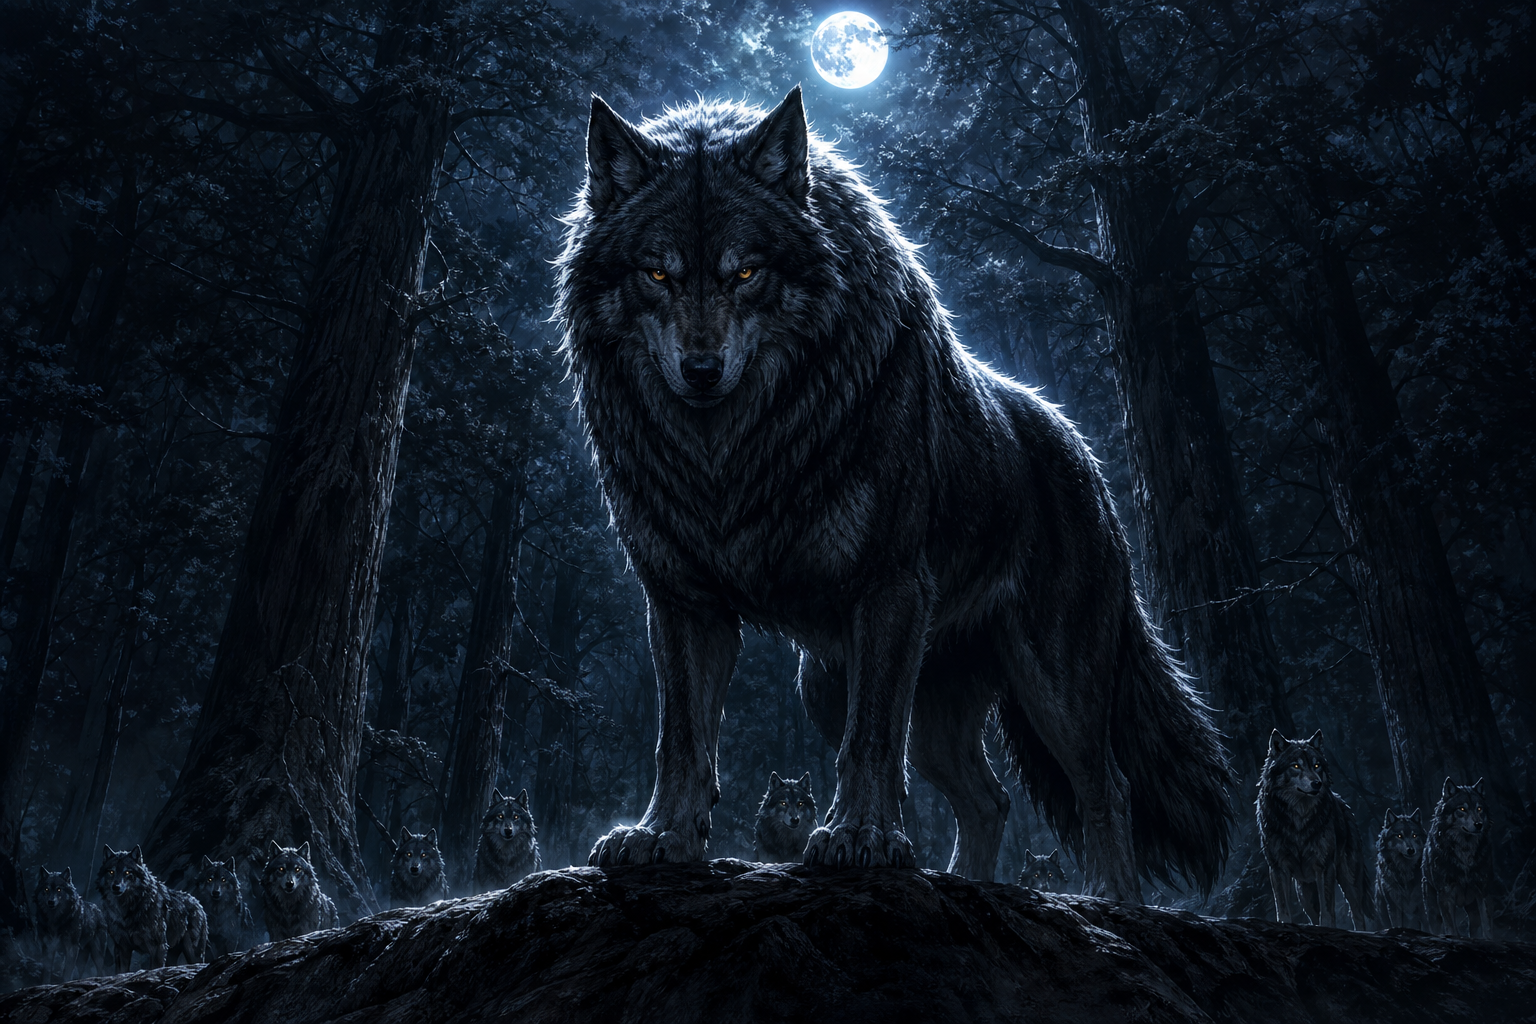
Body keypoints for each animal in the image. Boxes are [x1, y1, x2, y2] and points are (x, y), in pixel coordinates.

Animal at [560, 88, 1231, 900]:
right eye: (658, 276)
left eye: (745, 273)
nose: (700, 370)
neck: (730, 454)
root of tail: (1086, 455)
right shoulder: (684, 600)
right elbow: (684, 739)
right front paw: (662, 837)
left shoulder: (888, 590)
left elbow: (871, 742)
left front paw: (860, 838)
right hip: (837, 685)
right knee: (989, 798)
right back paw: (966, 885)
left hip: (1053, 686)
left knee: (1107, 787)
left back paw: (1108, 900)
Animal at [1256, 731, 1371, 929]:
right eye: (1296, 766)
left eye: (1317, 765)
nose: (1317, 783)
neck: (1299, 820)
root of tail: (1344, 805)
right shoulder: (1278, 868)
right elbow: (1283, 908)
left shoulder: (1325, 867)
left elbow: (1327, 912)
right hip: (1305, 894)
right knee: (1313, 915)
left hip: (1350, 880)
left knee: (1357, 914)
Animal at [1422, 778, 1493, 938]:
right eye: (1462, 809)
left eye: (1479, 809)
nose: (1479, 825)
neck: (1465, 852)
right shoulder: (1445, 894)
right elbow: (1451, 928)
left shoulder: (1482, 890)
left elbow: (1487, 924)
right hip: (1433, 911)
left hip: (1472, 911)